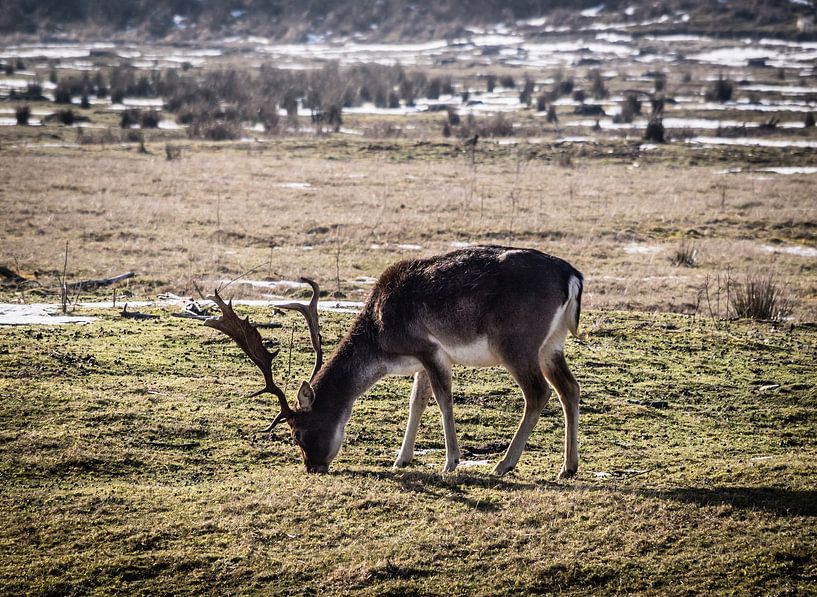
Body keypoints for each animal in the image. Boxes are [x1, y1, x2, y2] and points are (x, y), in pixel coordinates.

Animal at [205, 245, 583, 478]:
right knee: (570, 388)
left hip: (517, 342)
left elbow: (443, 400)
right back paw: (568, 467)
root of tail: (572, 277)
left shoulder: (428, 348)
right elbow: (417, 402)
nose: (313, 467)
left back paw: (504, 464)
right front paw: (401, 459)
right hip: (552, 344)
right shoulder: (423, 361)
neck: (382, 343)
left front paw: (451, 462)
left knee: (538, 393)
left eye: (298, 432)